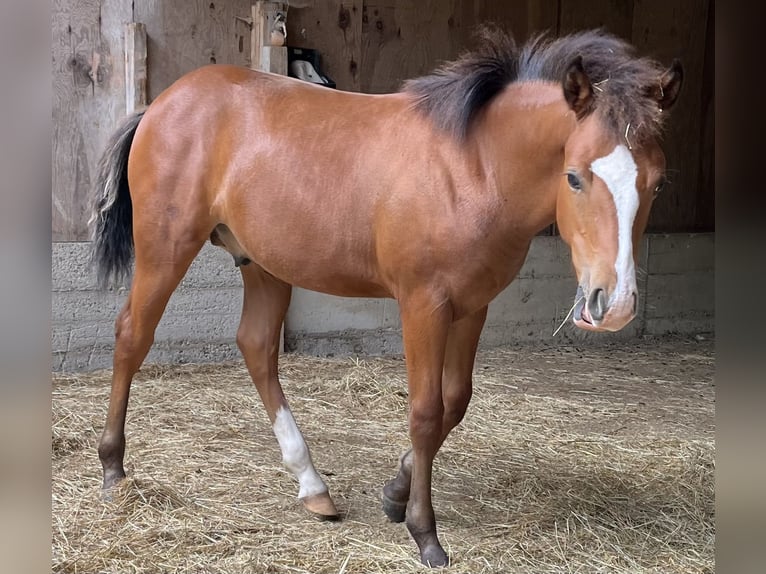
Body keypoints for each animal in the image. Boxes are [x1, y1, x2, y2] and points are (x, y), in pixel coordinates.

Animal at [89, 27, 682, 567]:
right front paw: (424, 532)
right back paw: (114, 469)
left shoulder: (473, 306)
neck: (471, 166)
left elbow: (456, 402)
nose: (615, 304)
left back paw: (312, 486)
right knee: (131, 335)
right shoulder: (423, 305)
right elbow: (425, 410)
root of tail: (162, 102)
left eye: (657, 183)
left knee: (256, 346)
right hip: (166, 248)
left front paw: (395, 493)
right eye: (575, 177)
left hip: (262, 263)